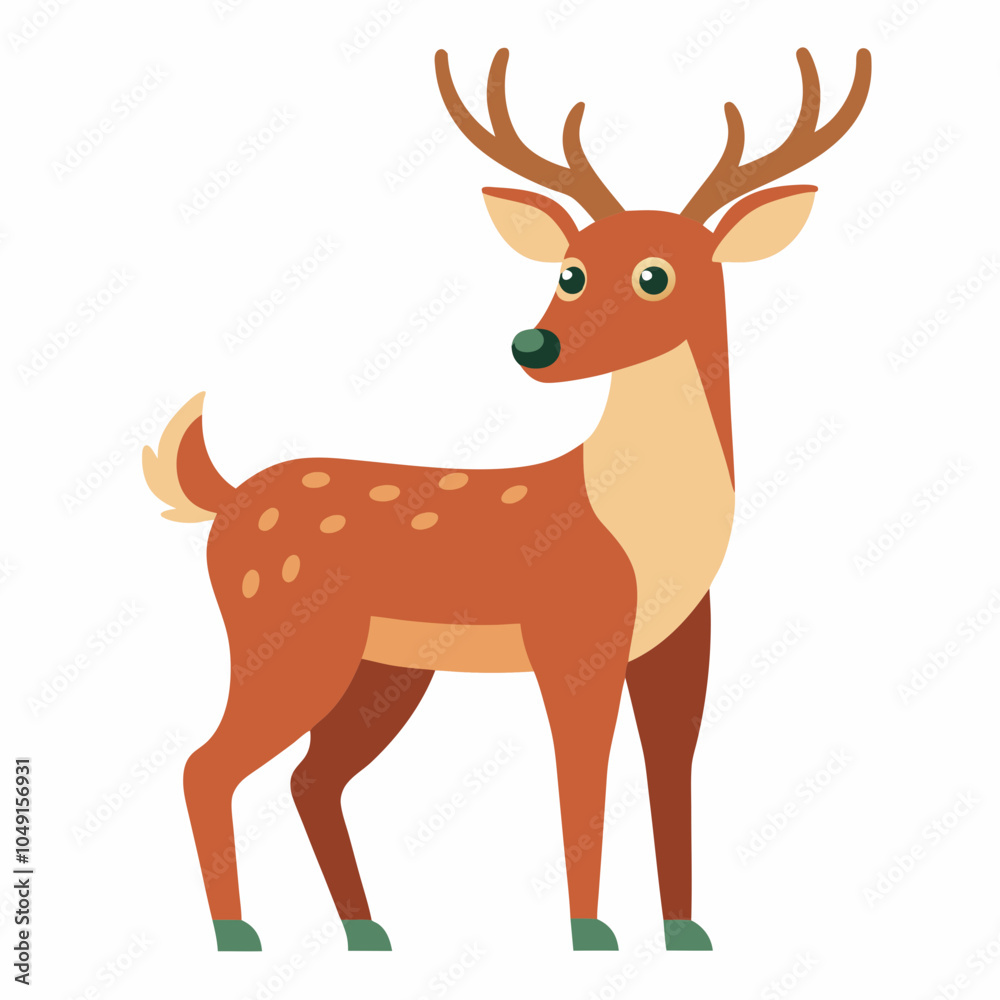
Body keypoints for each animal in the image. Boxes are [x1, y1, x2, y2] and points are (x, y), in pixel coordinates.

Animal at [144, 46, 870, 953]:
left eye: (655, 275)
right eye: (569, 270)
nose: (534, 345)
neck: (646, 535)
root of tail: (226, 499)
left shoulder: (681, 645)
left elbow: (670, 777)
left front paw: (684, 932)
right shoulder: (573, 633)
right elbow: (581, 782)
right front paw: (591, 935)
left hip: (383, 667)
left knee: (310, 778)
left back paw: (366, 931)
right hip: (282, 636)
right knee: (205, 766)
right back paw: (238, 933)